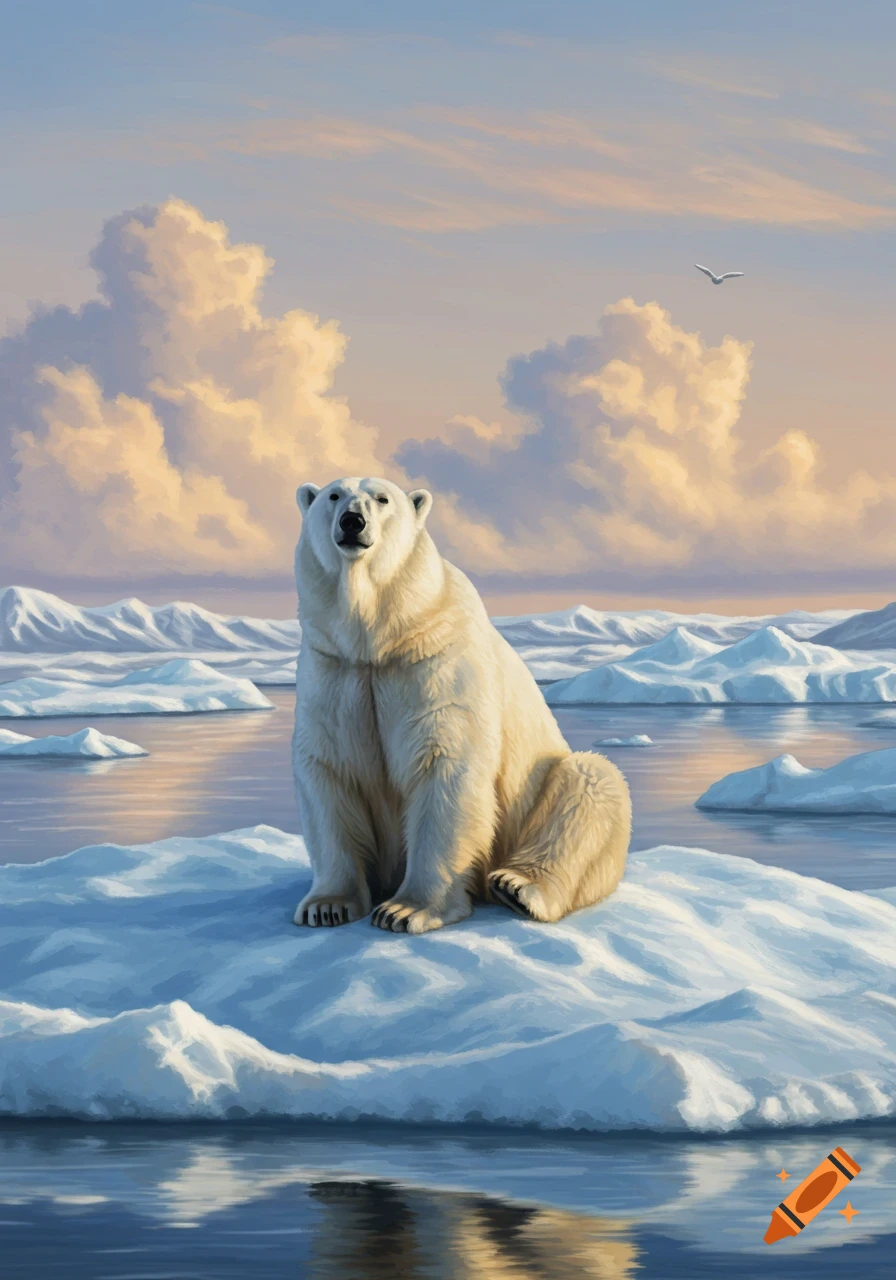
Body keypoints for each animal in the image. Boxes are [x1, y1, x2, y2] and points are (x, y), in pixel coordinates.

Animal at [292, 475, 631, 935]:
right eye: (333, 495)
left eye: (382, 498)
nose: (352, 521)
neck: (379, 639)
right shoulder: (334, 668)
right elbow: (328, 771)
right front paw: (326, 906)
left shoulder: (434, 660)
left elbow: (446, 766)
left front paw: (405, 910)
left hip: (539, 796)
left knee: (590, 783)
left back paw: (518, 886)